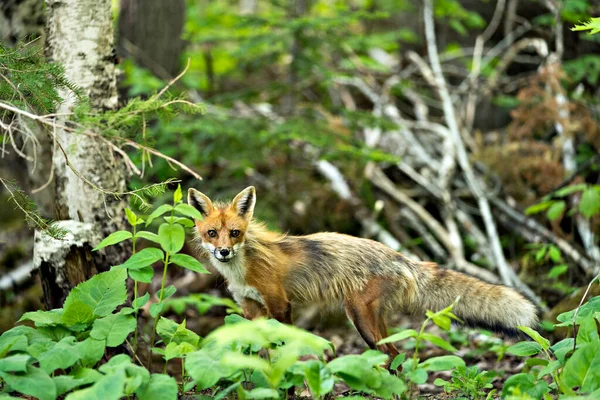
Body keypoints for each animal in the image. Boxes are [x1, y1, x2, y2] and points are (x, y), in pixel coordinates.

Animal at [186, 185, 536, 356]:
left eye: (235, 233)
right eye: (212, 233)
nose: (223, 252)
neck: (243, 269)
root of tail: (402, 257)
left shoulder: (280, 305)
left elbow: (286, 346)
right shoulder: (249, 308)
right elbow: (261, 353)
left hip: (359, 316)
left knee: (394, 356)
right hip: (374, 320)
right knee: (397, 357)